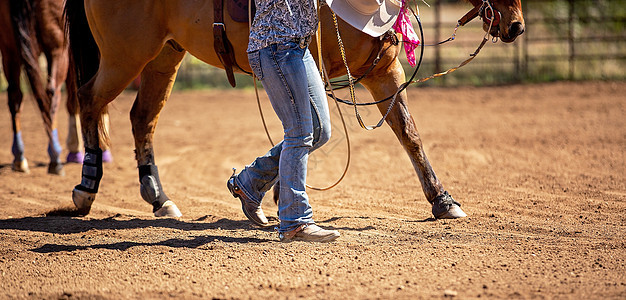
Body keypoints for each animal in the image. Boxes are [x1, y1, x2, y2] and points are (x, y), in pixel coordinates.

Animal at [63, 1, 520, 219]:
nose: (515, 25)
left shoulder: (383, 71)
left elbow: (409, 135)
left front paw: (443, 199)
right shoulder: (308, 64)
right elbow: (304, 132)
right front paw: (280, 195)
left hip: (164, 55)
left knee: (142, 118)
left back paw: (160, 199)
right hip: (125, 56)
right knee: (89, 100)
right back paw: (86, 187)